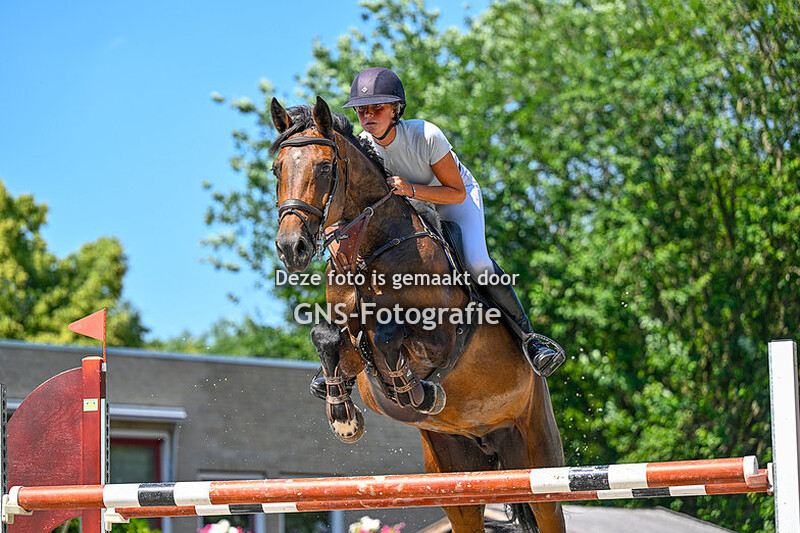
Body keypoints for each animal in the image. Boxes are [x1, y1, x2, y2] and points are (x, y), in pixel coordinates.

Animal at [270, 96, 566, 533]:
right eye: (277, 169)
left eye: (324, 167)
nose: (293, 248)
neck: (370, 250)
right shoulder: (354, 349)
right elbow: (325, 337)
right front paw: (344, 417)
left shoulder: (442, 338)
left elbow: (390, 335)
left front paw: (415, 392)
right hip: (456, 476)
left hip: (537, 455)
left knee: (549, 507)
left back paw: (537, 353)